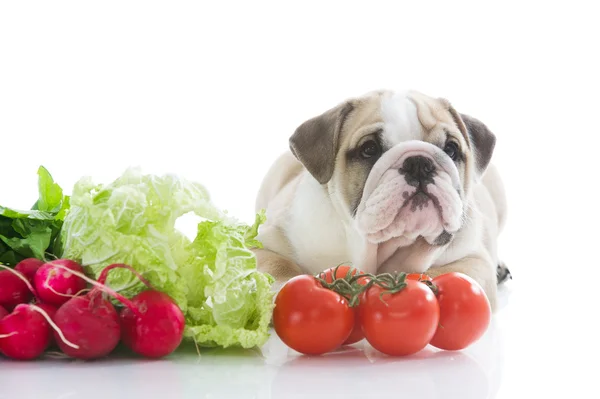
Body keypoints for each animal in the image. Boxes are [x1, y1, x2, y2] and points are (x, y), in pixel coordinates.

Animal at [253, 91, 510, 312]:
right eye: (369, 149)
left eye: (451, 148)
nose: (419, 163)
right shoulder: (264, 241)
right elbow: (277, 265)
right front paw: (284, 290)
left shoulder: (474, 260)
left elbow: (443, 273)